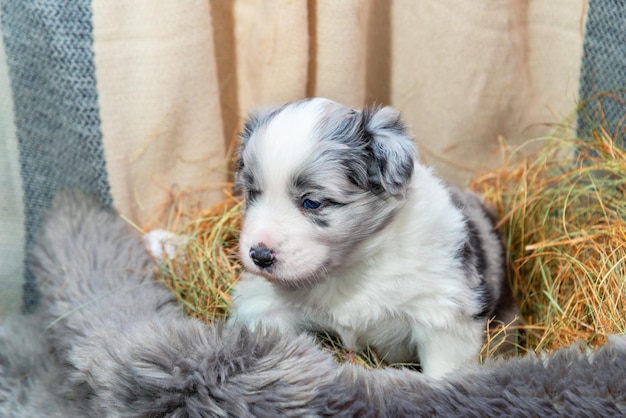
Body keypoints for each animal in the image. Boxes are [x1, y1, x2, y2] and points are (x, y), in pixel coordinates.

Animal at [227, 98, 516, 378]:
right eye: (253, 193)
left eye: (312, 202)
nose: (259, 256)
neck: (349, 267)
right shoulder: (265, 306)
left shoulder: (442, 316)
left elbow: (443, 372)